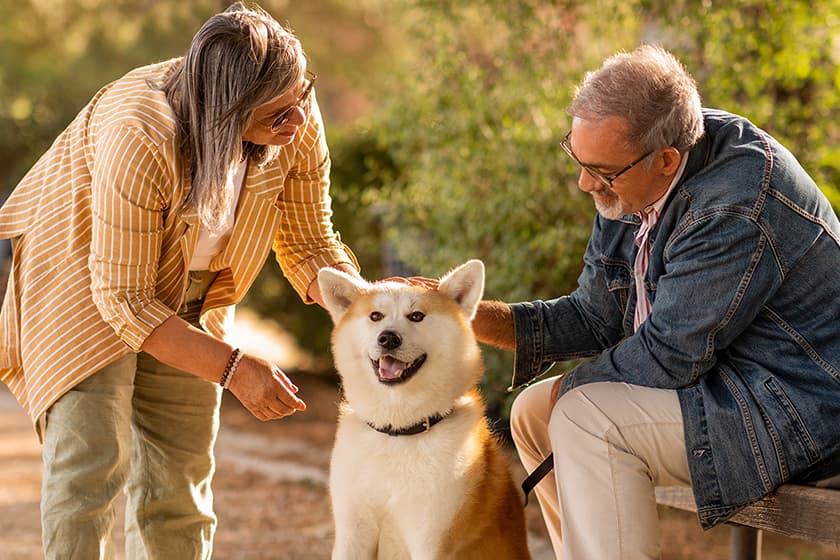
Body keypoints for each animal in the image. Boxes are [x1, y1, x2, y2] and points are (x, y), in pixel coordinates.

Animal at [318, 262, 528, 560]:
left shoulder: (431, 539)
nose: (388, 338)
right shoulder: (352, 534)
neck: (398, 431)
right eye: (375, 316)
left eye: (416, 316)